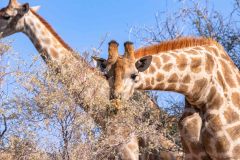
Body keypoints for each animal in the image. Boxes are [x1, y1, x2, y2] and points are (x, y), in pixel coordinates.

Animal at [95, 37, 240, 159]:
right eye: (106, 75)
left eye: (134, 75)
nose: (114, 105)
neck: (201, 92)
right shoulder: (194, 154)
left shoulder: (230, 154)